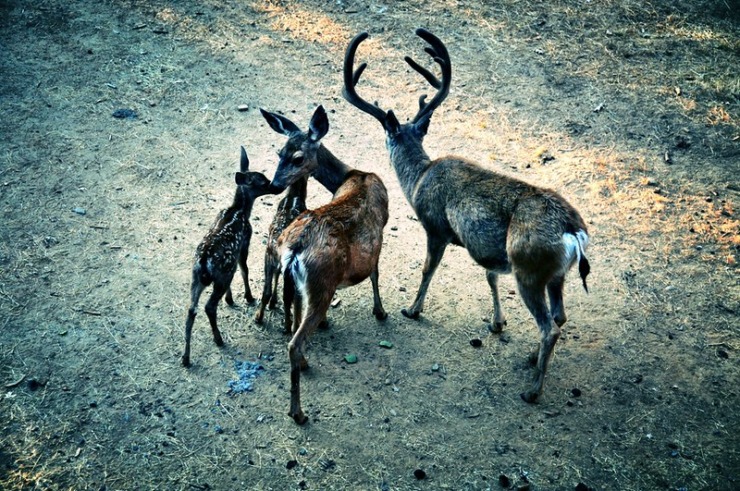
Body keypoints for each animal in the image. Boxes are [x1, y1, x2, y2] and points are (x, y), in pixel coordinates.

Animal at [182, 147, 278, 368]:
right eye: (262, 181)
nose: (276, 186)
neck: (240, 210)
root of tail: (203, 263)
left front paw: (231, 298)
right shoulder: (244, 243)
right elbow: (245, 269)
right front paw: (248, 297)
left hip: (196, 277)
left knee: (191, 310)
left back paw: (186, 358)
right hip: (221, 274)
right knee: (208, 307)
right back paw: (218, 339)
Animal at [253, 175, 308, 332]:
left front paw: (273, 302)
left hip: (270, 258)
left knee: (270, 290)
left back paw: (260, 317)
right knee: (290, 296)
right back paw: (288, 325)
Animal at [260, 104, 390, 426]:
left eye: (295, 156)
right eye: (278, 152)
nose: (274, 184)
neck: (355, 174)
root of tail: (295, 248)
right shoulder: (381, 230)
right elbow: (375, 272)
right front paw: (380, 311)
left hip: (300, 279)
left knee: (295, 318)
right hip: (322, 282)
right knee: (294, 342)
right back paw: (298, 412)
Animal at [344, 27, 592, 404]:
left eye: (387, 137)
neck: (419, 178)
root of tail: (572, 230)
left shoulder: (435, 227)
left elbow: (427, 269)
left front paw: (412, 309)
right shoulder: (490, 252)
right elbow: (490, 277)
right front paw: (496, 323)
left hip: (529, 267)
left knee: (549, 326)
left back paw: (532, 391)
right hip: (555, 274)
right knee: (559, 316)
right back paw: (532, 357)